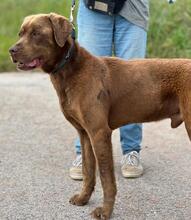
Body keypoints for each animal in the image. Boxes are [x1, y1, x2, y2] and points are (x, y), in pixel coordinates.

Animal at [10, 12, 191, 219]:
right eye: (21, 33)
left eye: (36, 33)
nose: (11, 50)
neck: (71, 70)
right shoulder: (85, 133)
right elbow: (88, 171)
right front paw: (83, 198)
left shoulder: (99, 133)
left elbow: (106, 177)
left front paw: (105, 211)